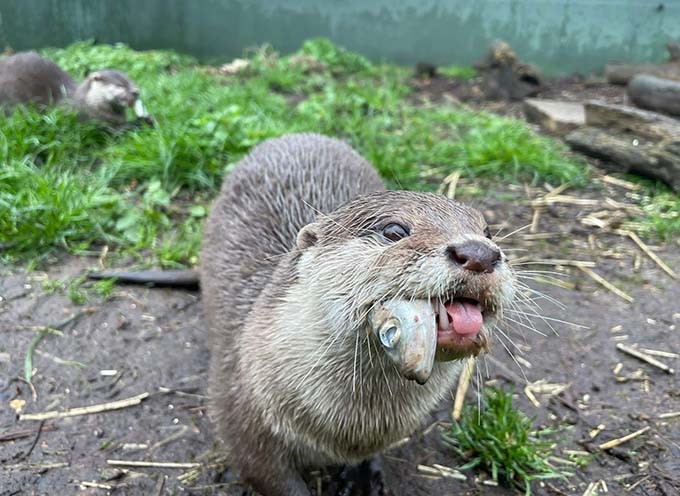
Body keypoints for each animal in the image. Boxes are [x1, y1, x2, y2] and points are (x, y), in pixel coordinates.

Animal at [199, 133, 516, 495]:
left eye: (488, 232)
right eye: (394, 231)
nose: (479, 252)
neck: (347, 429)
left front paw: (364, 477)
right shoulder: (244, 421)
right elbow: (272, 477)